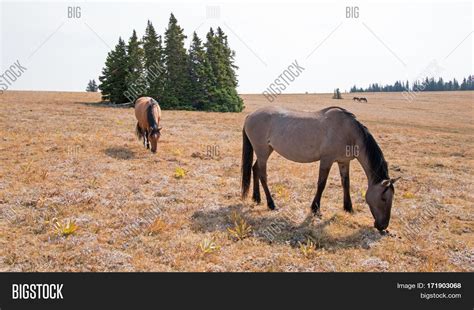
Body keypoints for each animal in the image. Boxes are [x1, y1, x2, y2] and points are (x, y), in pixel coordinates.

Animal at [241, 106, 400, 230]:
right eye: (384, 198)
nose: (383, 226)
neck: (348, 132)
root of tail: (250, 115)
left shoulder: (343, 162)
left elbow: (346, 184)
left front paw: (348, 208)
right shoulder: (326, 161)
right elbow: (321, 184)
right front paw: (315, 209)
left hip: (266, 151)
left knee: (255, 169)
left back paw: (256, 198)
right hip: (262, 151)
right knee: (262, 175)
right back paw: (271, 204)